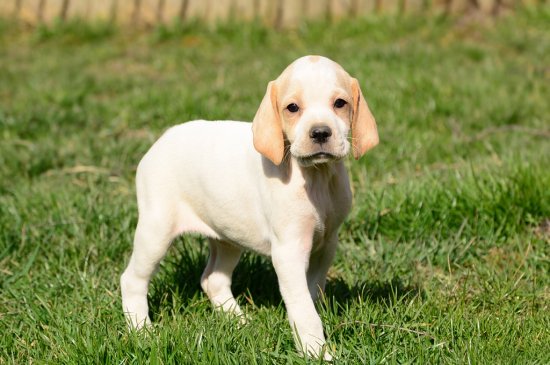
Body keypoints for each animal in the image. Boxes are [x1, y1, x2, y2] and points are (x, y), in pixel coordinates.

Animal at [121, 54, 380, 358]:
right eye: (292, 108)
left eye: (340, 103)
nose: (320, 133)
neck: (316, 178)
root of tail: (163, 138)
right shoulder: (289, 251)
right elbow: (304, 309)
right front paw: (318, 354)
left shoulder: (326, 243)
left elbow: (312, 293)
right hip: (156, 231)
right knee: (133, 280)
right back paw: (142, 331)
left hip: (227, 235)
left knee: (213, 279)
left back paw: (239, 322)